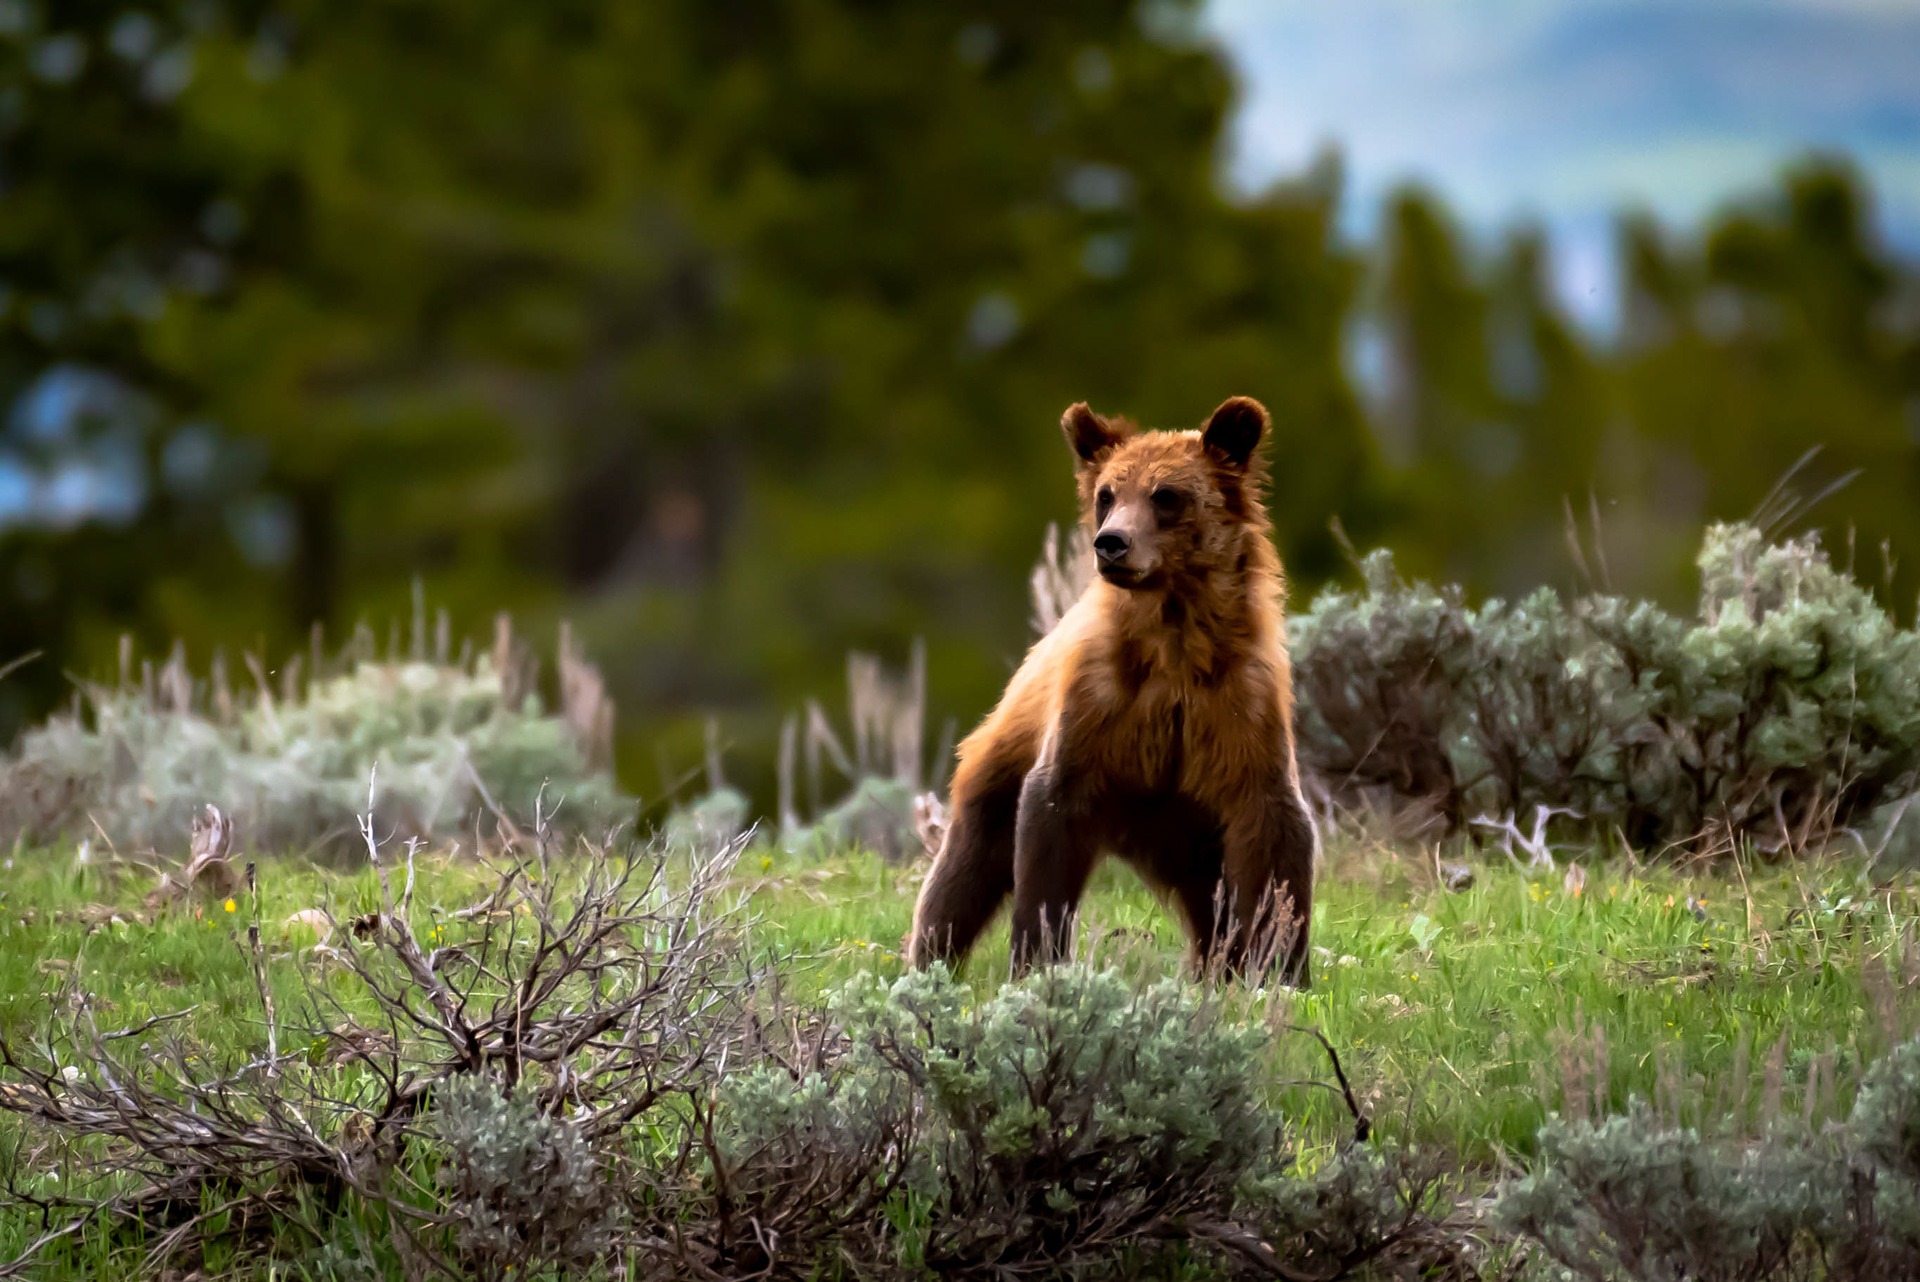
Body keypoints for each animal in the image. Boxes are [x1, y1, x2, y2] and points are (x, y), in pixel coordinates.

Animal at [907, 395, 1319, 985]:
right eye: (1108, 494)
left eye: (1166, 495)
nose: (1112, 543)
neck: (1174, 642)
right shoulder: (1097, 708)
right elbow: (1048, 826)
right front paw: (1036, 959)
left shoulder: (1240, 710)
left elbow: (1276, 839)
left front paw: (1279, 967)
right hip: (1006, 764)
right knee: (966, 867)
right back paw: (930, 958)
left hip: (1186, 829)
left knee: (1208, 900)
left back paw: (1216, 964)